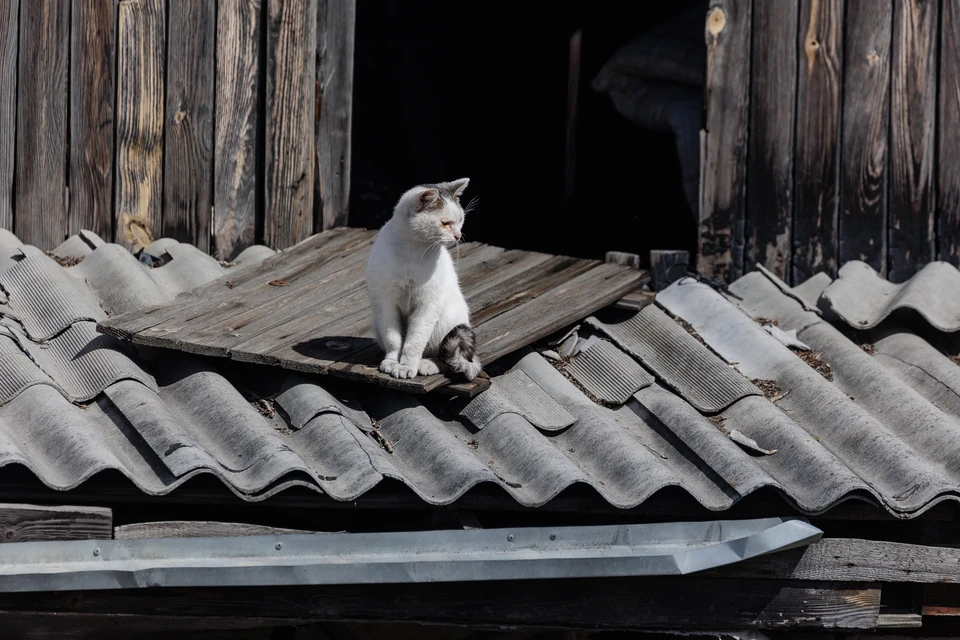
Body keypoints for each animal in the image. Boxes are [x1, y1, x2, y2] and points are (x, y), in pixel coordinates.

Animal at [370, 176, 488, 380]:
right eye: (445, 223)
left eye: (460, 220)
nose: (458, 236)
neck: (412, 251)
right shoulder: (385, 303)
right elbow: (393, 338)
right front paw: (392, 361)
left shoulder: (427, 305)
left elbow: (414, 341)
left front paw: (406, 366)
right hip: (377, 323)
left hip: (446, 321)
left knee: (444, 356)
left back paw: (426, 364)